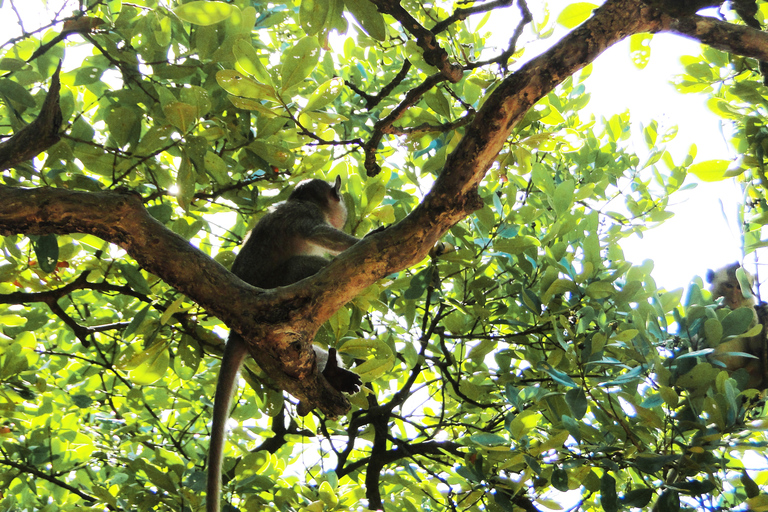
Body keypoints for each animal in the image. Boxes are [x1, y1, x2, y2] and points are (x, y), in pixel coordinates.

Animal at [207, 176, 364, 512]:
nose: (343, 209)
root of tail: (235, 329)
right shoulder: (305, 214)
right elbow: (319, 234)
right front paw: (366, 239)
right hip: (277, 289)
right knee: (304, 264)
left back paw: (325, 380)